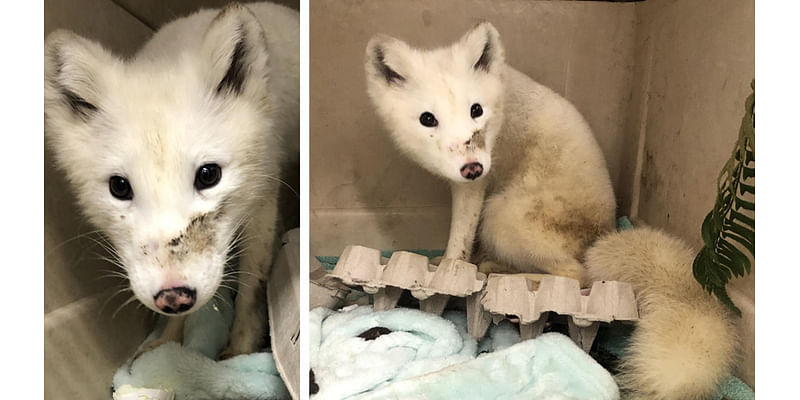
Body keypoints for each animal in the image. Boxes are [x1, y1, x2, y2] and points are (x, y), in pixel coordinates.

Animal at [42, 0, 296, 356]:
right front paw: (169, 341)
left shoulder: (263, 198)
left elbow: (251, 287)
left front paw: (239, 351)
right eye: (119, 187)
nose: (173, 297)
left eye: (209, 175)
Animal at [366, 22, 616, 284]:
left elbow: (458, 241)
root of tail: (603, 230)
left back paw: (504, 274)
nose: (473, 168)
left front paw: (448, 271)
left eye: (476, 110)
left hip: (498, 217)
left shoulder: (473, 187)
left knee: (578, 275)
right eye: (427, 119)